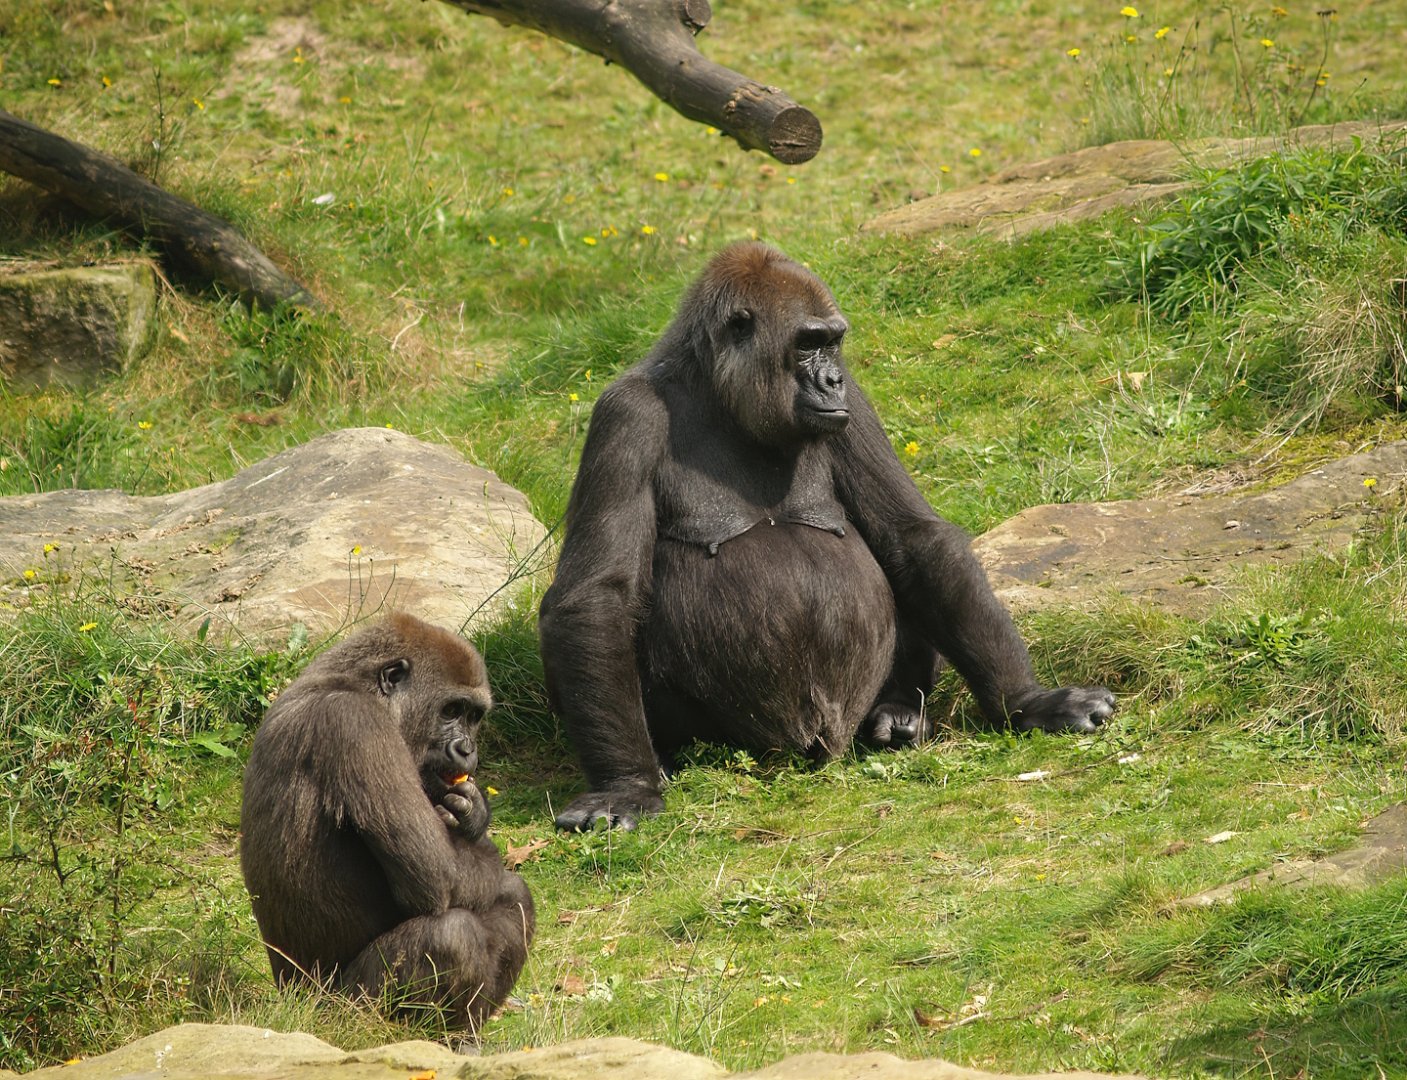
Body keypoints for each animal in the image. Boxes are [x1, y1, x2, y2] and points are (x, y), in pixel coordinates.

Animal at [240, 613, 533, 1030]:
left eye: (473, 716)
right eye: (450, 711)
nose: (467, 749)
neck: (355, 683)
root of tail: (292, 998)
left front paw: (473, 814)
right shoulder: (357, 726)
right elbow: (438, 877)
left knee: (511, 897)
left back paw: (463, 1035)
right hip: (342, 1010)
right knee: (453, 933)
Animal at [538, 242, 1115, 831]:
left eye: (833, 343)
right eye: (807, 343)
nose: (833, 379)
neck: (718, 392)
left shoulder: (852, 406)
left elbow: (912, 539)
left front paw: (1028, 701)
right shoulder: (625, 417)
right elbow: (599, 596)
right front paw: (625, 784)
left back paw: (899, 709)